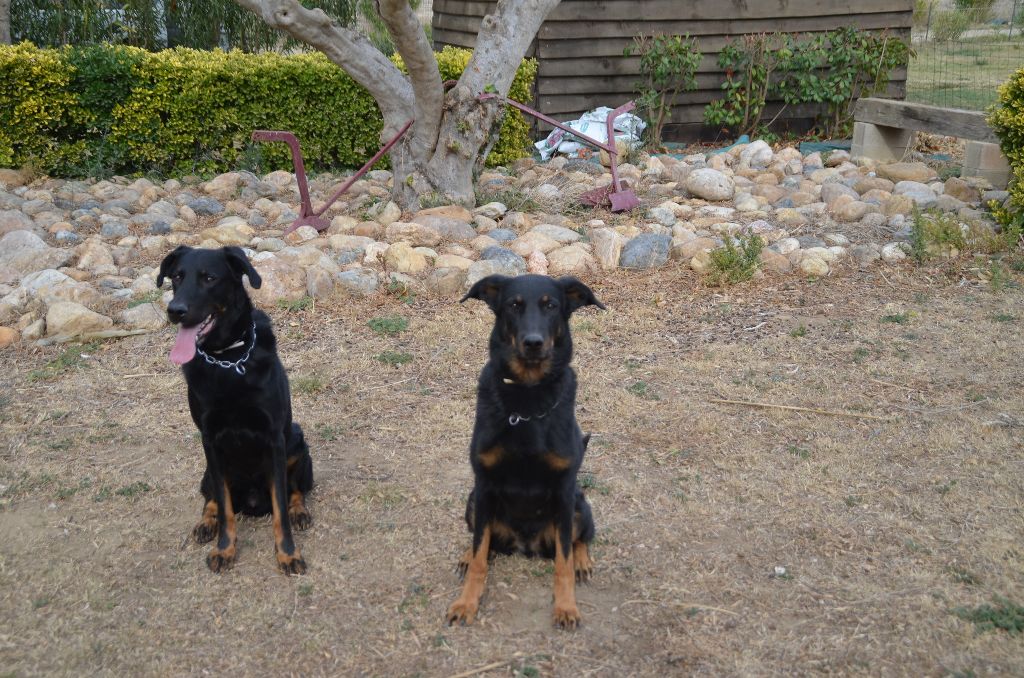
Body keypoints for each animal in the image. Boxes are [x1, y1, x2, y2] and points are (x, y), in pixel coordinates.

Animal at [156, 246, 311, 577]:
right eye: (177, 277)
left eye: (209, 278)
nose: (175, 310)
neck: (228, 359)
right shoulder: (210, 441)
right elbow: (225, 507)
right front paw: (225, 548)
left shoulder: (274, 439)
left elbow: (281, 505)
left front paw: (288, 553)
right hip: (207, 470)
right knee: (212, 500)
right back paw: (206, 523)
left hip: (296, 441)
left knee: (294, 490)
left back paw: (300, 512)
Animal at [450, 274, 606, 630]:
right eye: (514, 305)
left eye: (551, 305)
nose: (533, 342)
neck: (526, 398)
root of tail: (526, 545)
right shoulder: (484, 484)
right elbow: (480, 554)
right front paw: (467, 602)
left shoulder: (563, 491)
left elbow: (563, 562)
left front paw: (566, 607)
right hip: (473, 501)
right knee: (482, 542)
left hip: (579, 505)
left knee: (579, 539)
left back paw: (583, 562)